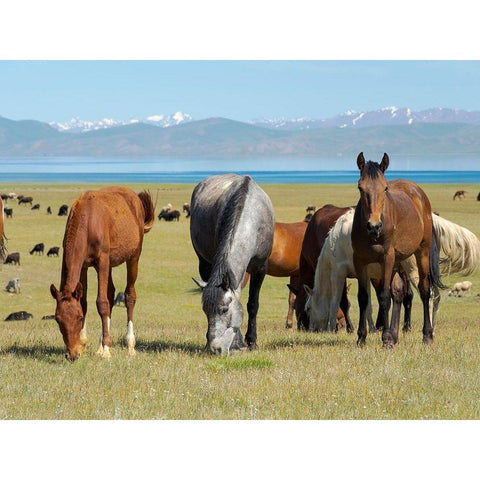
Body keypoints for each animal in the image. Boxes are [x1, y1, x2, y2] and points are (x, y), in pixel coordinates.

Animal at [49, 187, 155, 360]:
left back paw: (130, 345)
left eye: (79, 318)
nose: (71, 354)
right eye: (58, 319)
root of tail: (134, 197)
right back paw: (101, 345)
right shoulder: (84, 266)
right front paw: (83, 345)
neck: (88, 221)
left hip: (133, 257)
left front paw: (106, 350)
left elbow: (102, 302)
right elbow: (84, 301)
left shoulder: (102, 261)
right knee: (111, 293)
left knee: (130, 295)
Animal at [190, 174, 274, 354]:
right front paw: (237, 342)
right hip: (204, 262)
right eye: (205, 310)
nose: (214, 348)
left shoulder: (260, 269)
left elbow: (252, 304)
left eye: (224, 309)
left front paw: (252, 342)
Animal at [306, 212, 480, 332]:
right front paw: (372, 329)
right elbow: (368, 305)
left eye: (307, 308)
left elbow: (335, 303)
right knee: (436, 296)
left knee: (429, 295)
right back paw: (433, 327)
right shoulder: (365, 275)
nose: (312, 328)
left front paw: (330, 329)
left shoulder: (338, 272)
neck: (333, 242)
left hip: (414, 270)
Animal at [350, 154, 444, 348]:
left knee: (424, 290)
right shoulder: (360, 260)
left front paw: (385, 338)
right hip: (398, 261)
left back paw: (427, 335)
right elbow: (363, 297)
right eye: (360, 187)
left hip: (421, 253)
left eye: (385, 188)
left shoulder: (386, 258)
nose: (374, 226)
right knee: (399, 293)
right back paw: (395, 335)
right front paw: (361, 337)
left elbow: (384, 296)